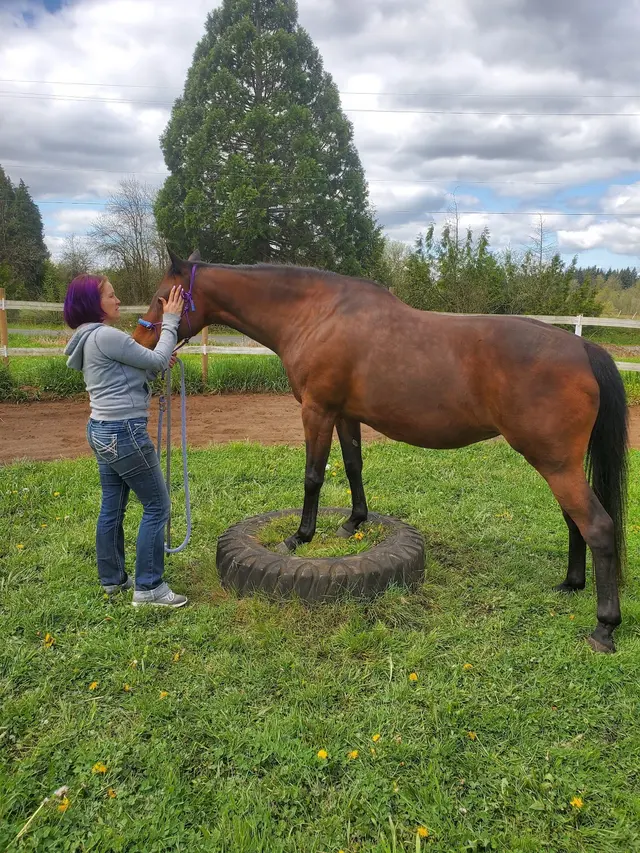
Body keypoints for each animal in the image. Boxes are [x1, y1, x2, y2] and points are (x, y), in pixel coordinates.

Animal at [133, 248, 629, 653]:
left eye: (161, 298)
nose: (140, 347)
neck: (316, 314)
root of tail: (583, 347)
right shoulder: (345, 415)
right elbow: (353, 465)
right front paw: (354, 522)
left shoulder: (317, 410)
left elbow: (314, 475)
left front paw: (300, 536)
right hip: (557, 464)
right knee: (574, 520)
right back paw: (570, 584)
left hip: (554, 462)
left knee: (598, 526)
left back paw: (604, 627)